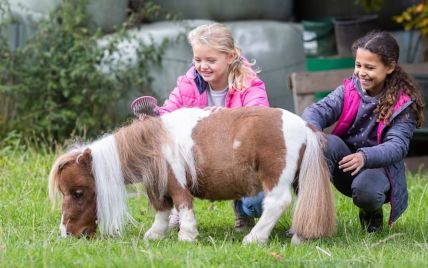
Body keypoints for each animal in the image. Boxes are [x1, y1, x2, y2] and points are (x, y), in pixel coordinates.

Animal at [48, 107, 336, 245]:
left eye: (78, 192)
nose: (67, 233)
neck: (154, 143)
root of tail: (305, 126)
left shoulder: (176, 182)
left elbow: (182, 204)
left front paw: (186, 235)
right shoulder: (159, 186)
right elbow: (163, 210)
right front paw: (156, 234)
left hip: (275, 178)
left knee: (277, 203)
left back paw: (254, 238)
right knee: (304, 203)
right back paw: (299, 236)